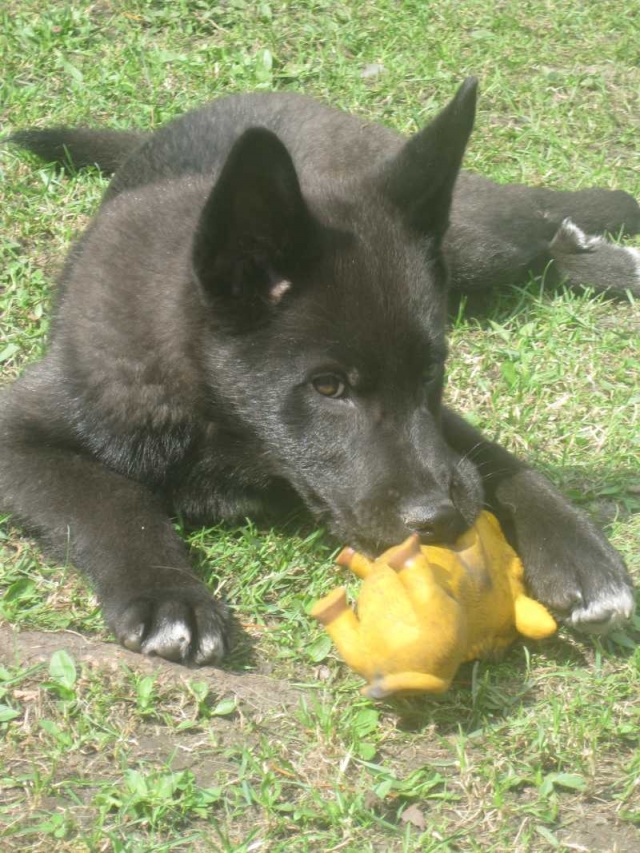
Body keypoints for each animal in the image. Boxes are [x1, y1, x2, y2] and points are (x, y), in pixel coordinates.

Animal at [2, 79, 638, 665]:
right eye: (328, 386)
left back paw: (608, 253)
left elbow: (494, 458)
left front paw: (577, 551)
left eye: (433, 372)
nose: (444, 517)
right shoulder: (25, 431)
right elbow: (111, 499)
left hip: (469, 245)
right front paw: (168, 593)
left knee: (537, 224)